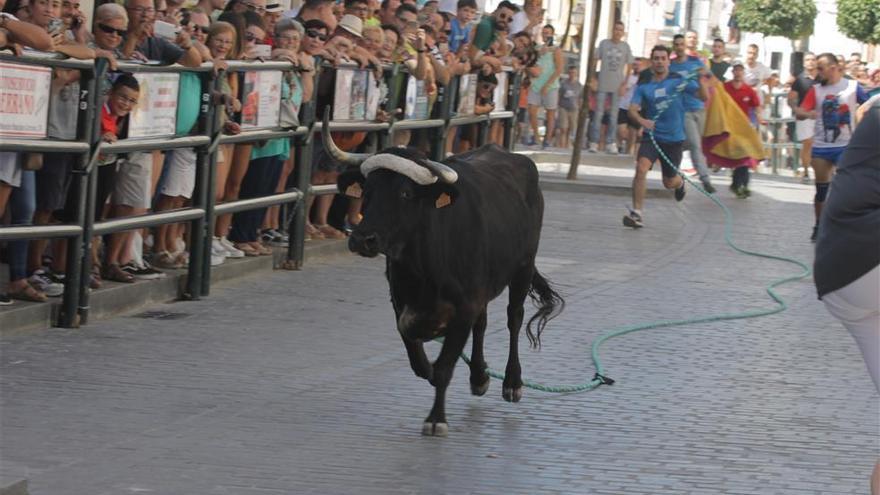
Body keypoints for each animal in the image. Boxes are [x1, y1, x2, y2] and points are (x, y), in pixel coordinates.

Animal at [324, 129, 564, 438]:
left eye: (405, 193)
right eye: (367, 192)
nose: (362, 239)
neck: (423, 268)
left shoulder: (464, 306)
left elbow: (444, 368)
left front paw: (436, 419)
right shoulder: (401, 304)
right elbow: (420, 360)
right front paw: (434, 369)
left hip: (523, 267)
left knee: (514, 318)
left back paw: (512, 382)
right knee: (483, 323)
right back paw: (479, 376)